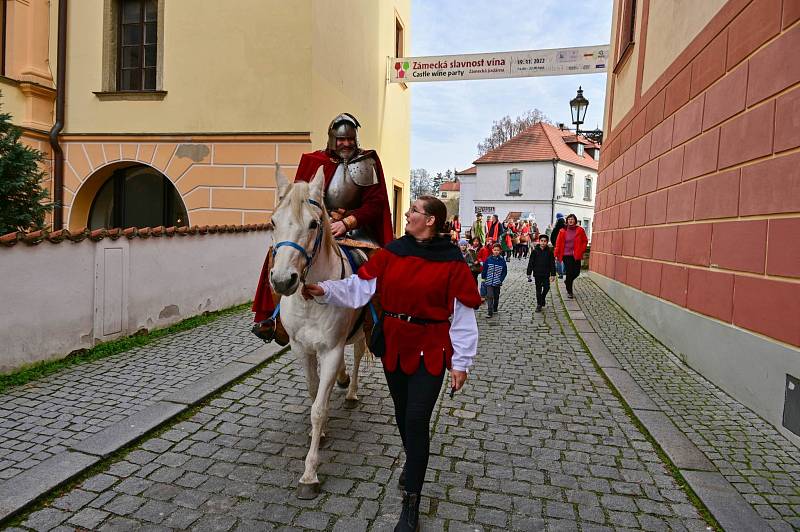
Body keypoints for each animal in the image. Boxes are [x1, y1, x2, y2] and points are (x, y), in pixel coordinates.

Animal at [268, 165, 368, 498]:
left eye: (313, 223)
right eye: (273, 222)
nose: (282, 280)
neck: (312, 296)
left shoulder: (332, 350)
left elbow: (318, 409)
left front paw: (310, 473)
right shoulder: (302, 350)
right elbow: (314, 393)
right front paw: (321, 434)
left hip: (362, 333)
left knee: (358, 356)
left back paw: (350, 391)